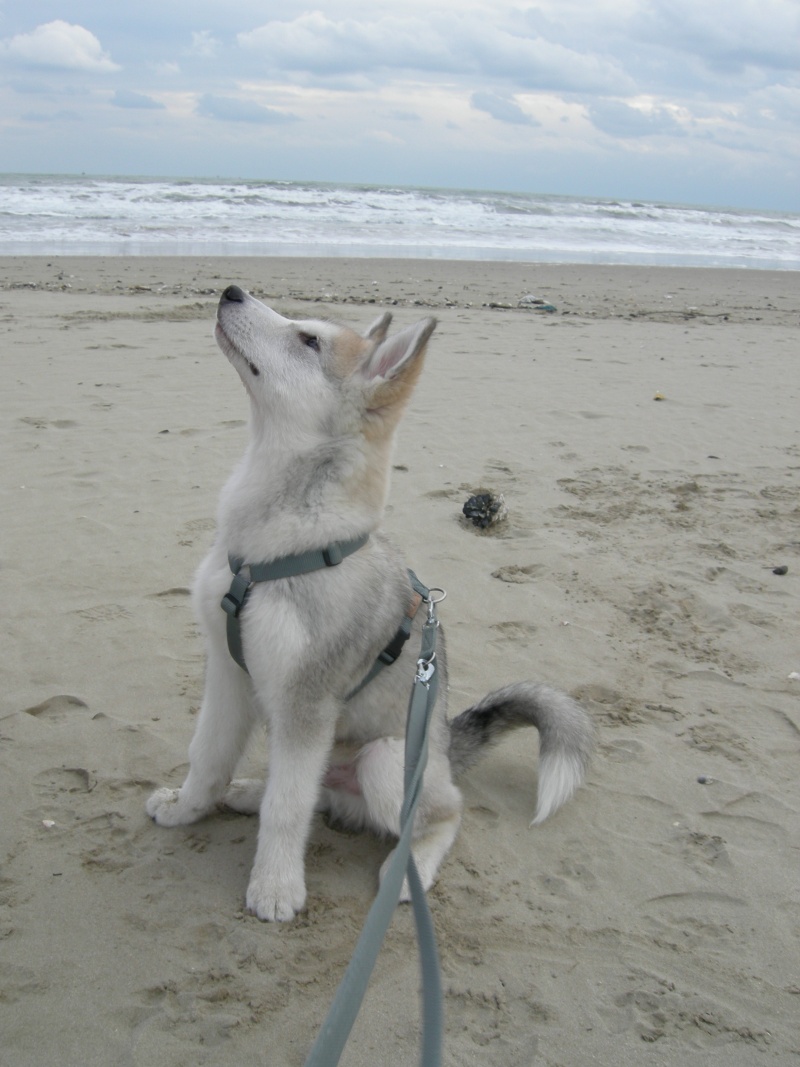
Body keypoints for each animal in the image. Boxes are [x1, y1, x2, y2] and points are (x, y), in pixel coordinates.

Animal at [147, 288, 593, 921]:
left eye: (309, 340)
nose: (231, 291)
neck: (275, 551)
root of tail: (446, 748)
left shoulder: (307, 703)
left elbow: (287, 810)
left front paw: (276, 887)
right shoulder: (228, 673)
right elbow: (208, 759)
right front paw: (188, 809)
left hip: (385, 760)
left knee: (440, 814)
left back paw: (409, 873)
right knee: (310, 793)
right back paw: (248, 792)